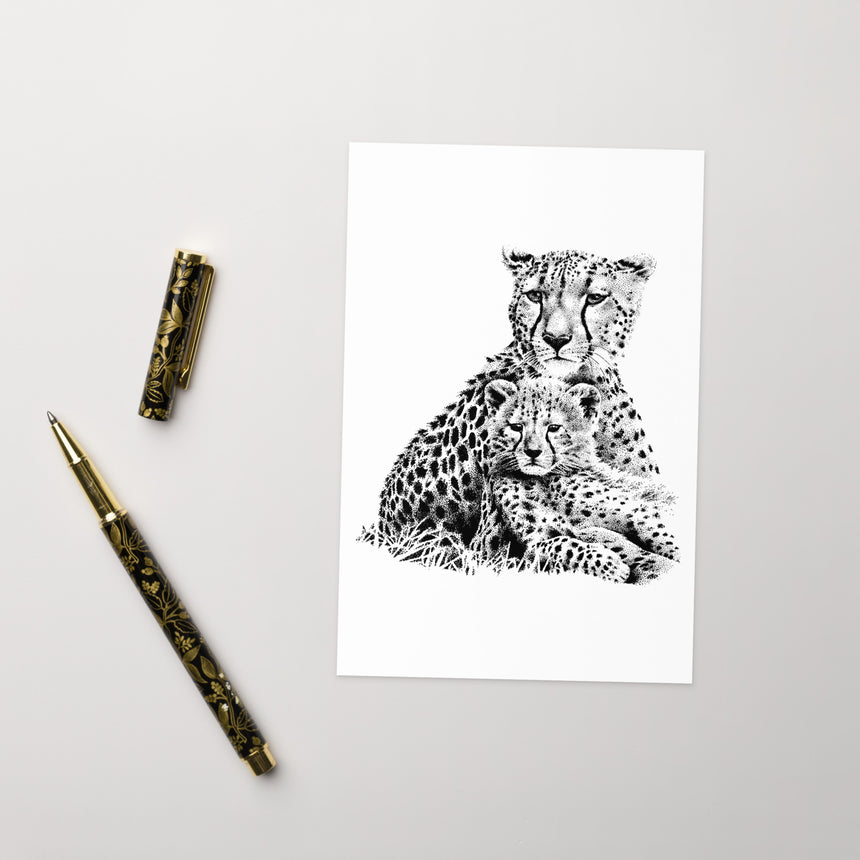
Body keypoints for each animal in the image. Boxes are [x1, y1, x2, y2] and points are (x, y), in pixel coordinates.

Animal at [472, 375, 678, 583]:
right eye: (516, 427)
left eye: (554, 428)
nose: (532, 452)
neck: (545, 480)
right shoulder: (530, 545)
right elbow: (562, 544)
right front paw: (612, 565)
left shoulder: (640, 513)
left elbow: (663, 534)